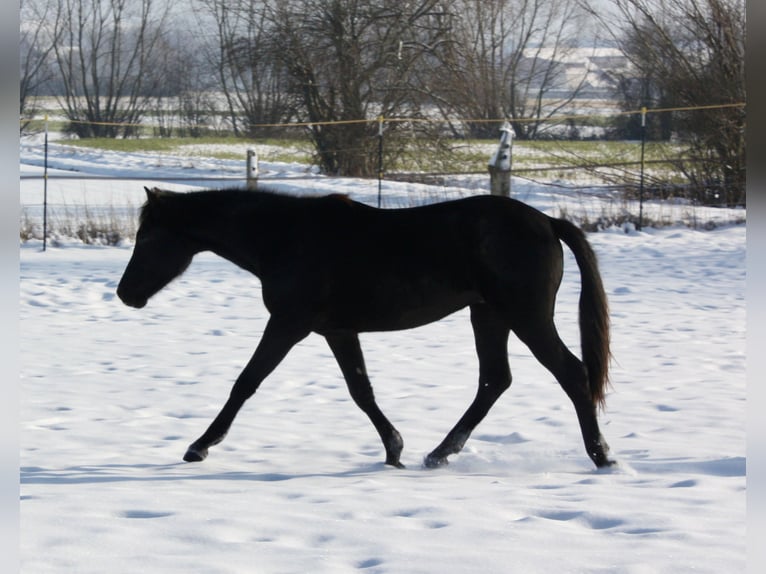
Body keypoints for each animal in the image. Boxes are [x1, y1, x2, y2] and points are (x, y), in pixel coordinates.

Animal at [117, 189, 616, 472]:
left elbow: (246, 381)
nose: (125, 294)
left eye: (149, 237)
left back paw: (602, 456)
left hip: (526, 317)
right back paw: (439, 453)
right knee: (495, 381)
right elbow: (361, 390)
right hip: (489, 315)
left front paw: (199, 446)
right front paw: (394, 449)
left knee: (571, 374)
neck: (285, 237)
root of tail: (547, 222)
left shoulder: (289, 324)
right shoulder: (336, 331)